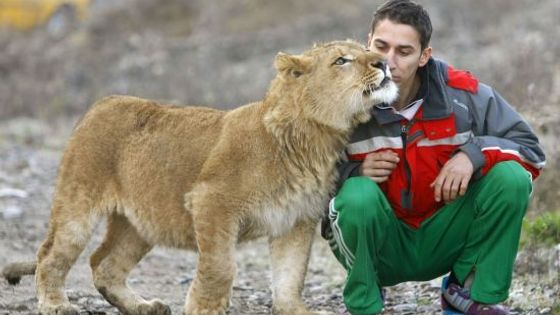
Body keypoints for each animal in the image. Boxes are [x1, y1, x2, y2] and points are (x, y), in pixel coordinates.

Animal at [1, 40, 398, 315]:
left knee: (104, 265)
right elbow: (221, 267)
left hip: (141, 224)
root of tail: (103, 102)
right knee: (51, 255)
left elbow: (290, 275)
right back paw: (56, 304)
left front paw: (295, 310)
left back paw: (143, 306)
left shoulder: (295, 220)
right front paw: (204, 308)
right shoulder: (212, 201)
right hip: (78, 205)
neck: (315, 139)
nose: (383, 62)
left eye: (367, 49)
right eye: (342, 60)